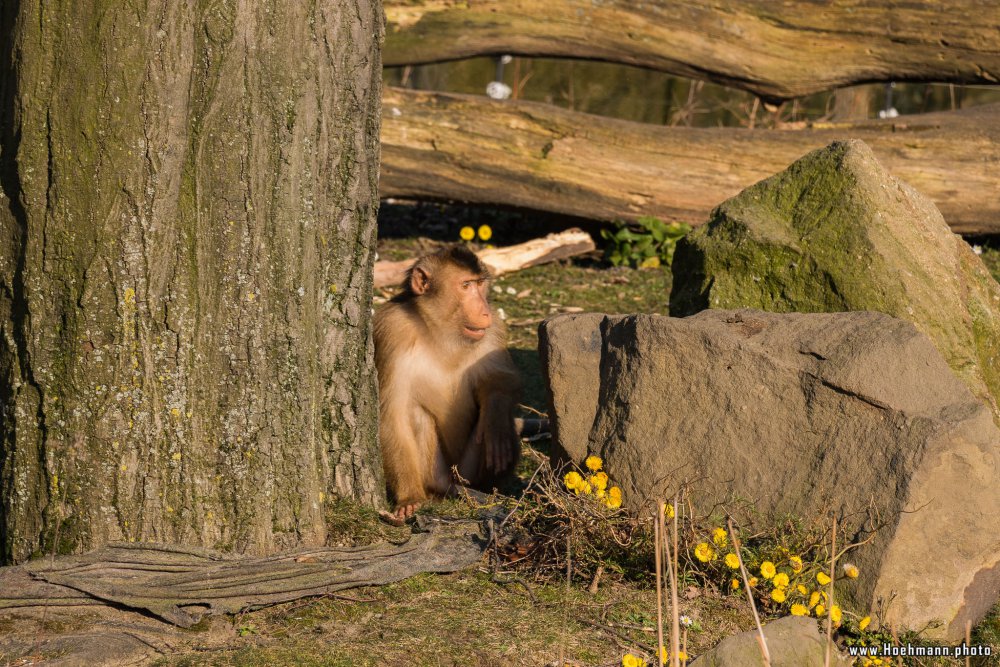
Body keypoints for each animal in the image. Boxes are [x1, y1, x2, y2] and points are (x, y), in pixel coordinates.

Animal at [372, 243, 520, 524]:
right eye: (465, 285)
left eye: (479, 284)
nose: (484, 310)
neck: (440, 333)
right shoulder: (392, 331)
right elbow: (392, 414)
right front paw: (409, 498)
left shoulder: (493, 330)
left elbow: (499, 382)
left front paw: (496, 421)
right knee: (415, 413)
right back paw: (437, 485)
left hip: (467, 473)